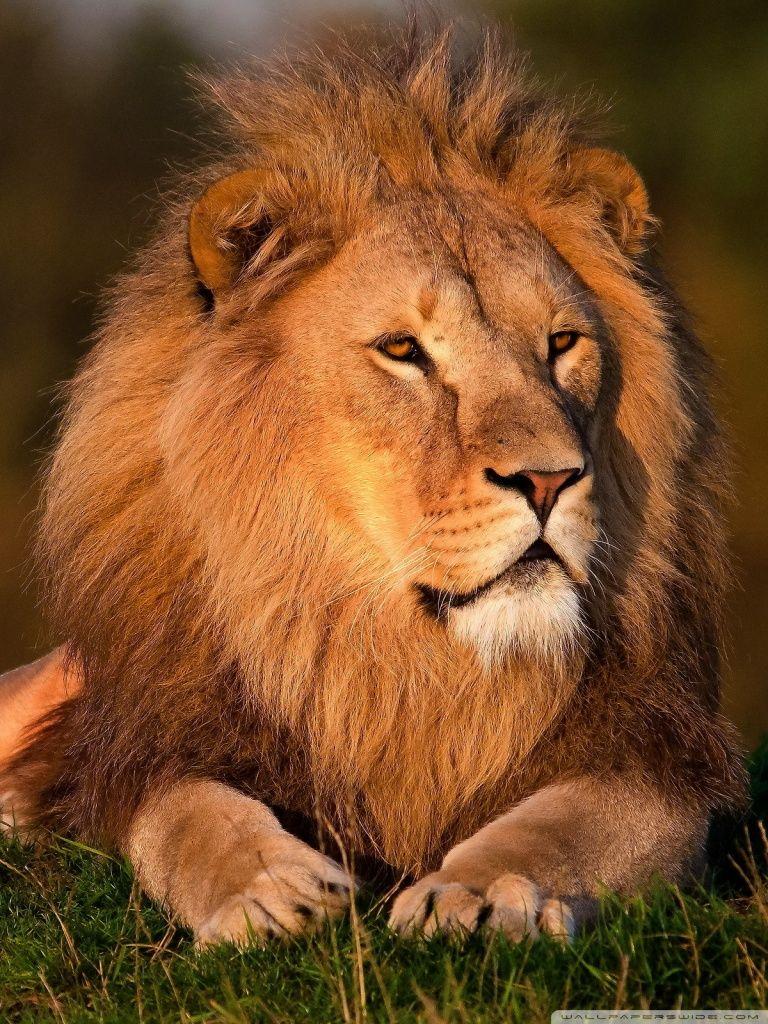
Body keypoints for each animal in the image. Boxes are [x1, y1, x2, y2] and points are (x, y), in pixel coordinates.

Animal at [0, 26, 745, 946]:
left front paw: (480, 890)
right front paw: (268, 890)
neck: (394, 657)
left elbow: (568, 824)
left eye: (562, 342)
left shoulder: (656, 756)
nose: (549, 478)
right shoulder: (149, 743)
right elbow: (185, 815)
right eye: (403, 351)